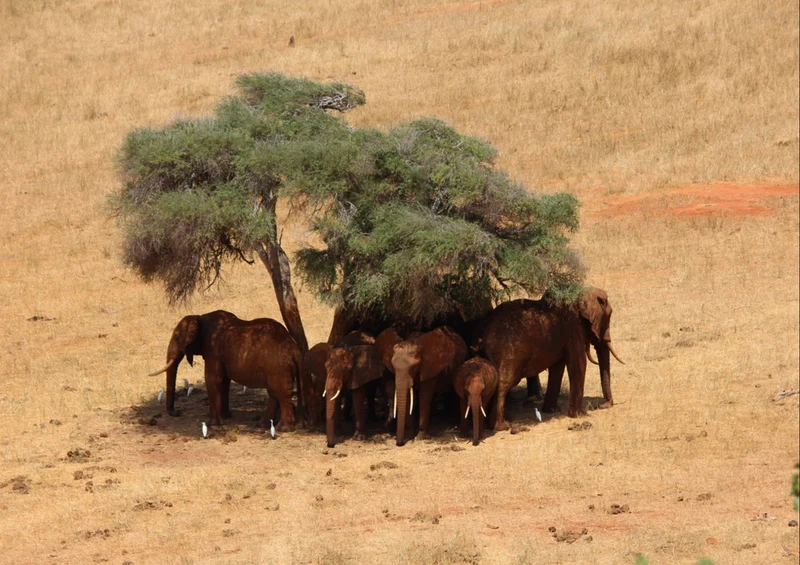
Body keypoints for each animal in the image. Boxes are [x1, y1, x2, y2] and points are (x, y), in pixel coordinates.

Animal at [148, 310, 304, 431]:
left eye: (176, 337)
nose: (177, 412)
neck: (199, 317)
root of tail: (295, 350)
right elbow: (223, 381)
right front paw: (225, 416)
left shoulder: (213, 349)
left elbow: (212, 379)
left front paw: (213, 424)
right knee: (274, 393)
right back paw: (263, 425)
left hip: (278, 367)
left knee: (280, 393)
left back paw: (283, 429)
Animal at [480, 288, 624, 431]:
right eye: (608, 317)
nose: (601, 406)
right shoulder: (573, 327)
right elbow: (578, 363)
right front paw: (580, 415)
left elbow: (557, 367)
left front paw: (552, 411)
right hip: (508, 351)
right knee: (505, 383)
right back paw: (501, 426)